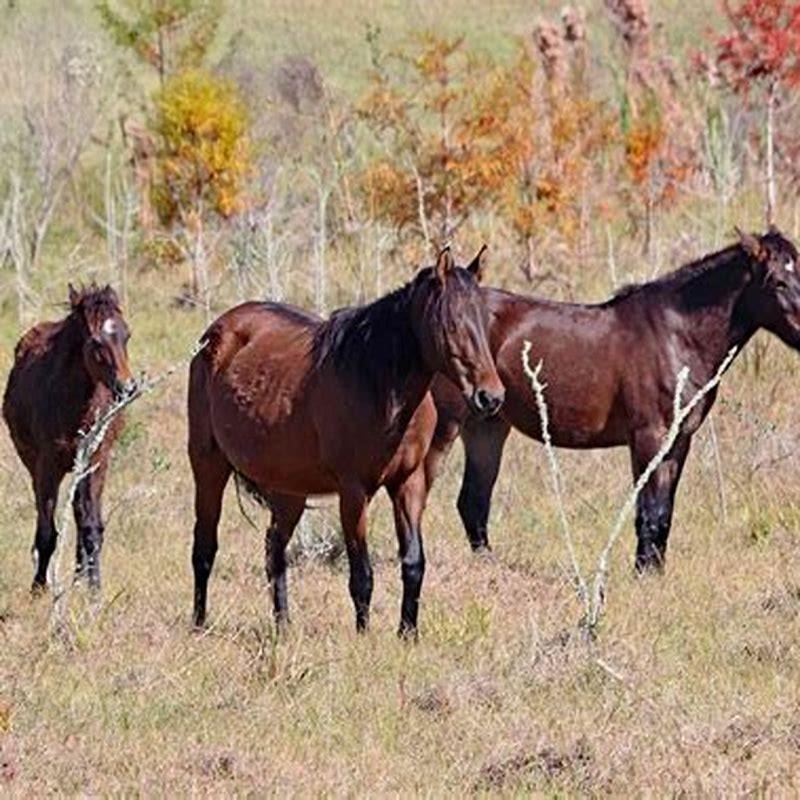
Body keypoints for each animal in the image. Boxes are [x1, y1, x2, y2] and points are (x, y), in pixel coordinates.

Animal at [3, 284, 135, 591]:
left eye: (126, 335)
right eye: (96, 342)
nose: (127, 388)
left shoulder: (96, 461)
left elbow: (92, 528)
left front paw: (94, 589)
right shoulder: (47, 466)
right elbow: (47, 532)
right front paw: (38, 588)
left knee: (80, 517)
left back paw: (79, 577)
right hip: (36, 465)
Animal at [188, 247, 504, 636]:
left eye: (485, 323)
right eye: (452, 324)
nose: (491, 397)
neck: (376, 384)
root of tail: (215, 334)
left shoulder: (409, 483)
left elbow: (414, 564)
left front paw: (408, 634)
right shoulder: (353, 491)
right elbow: (362, 575)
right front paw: (363, 636)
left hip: (289, 490)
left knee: (273, 551)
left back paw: (284, 626)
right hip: (208, 466)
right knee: (204, 547)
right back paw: (199, 624)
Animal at [427, 227, 800, 572]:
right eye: (777, 282)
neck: (676, 336)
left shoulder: (679, 441)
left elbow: (664, 511)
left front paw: (655, 572)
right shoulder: (648, 437)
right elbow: (648, 510)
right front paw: (643, 573)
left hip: (487, 425)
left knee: (473, 501)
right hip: (447, 425)